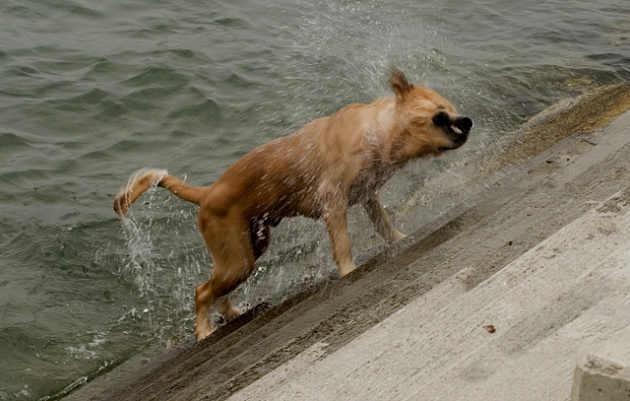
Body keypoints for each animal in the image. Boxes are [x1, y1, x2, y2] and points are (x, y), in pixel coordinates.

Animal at [113, 70, 472, 340]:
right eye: (440, 116)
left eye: (453, 109)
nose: (467, 122)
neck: (377, 131)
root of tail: (207, 192)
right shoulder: (333, 203)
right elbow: (343, 247)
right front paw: (350, 272)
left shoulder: (368, 196)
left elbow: (385, 226)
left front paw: (401, 240)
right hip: (238, 257)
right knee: (202, 291)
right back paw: (204, 331)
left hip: (248, 248)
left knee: (215, 288)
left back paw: (231, 313)